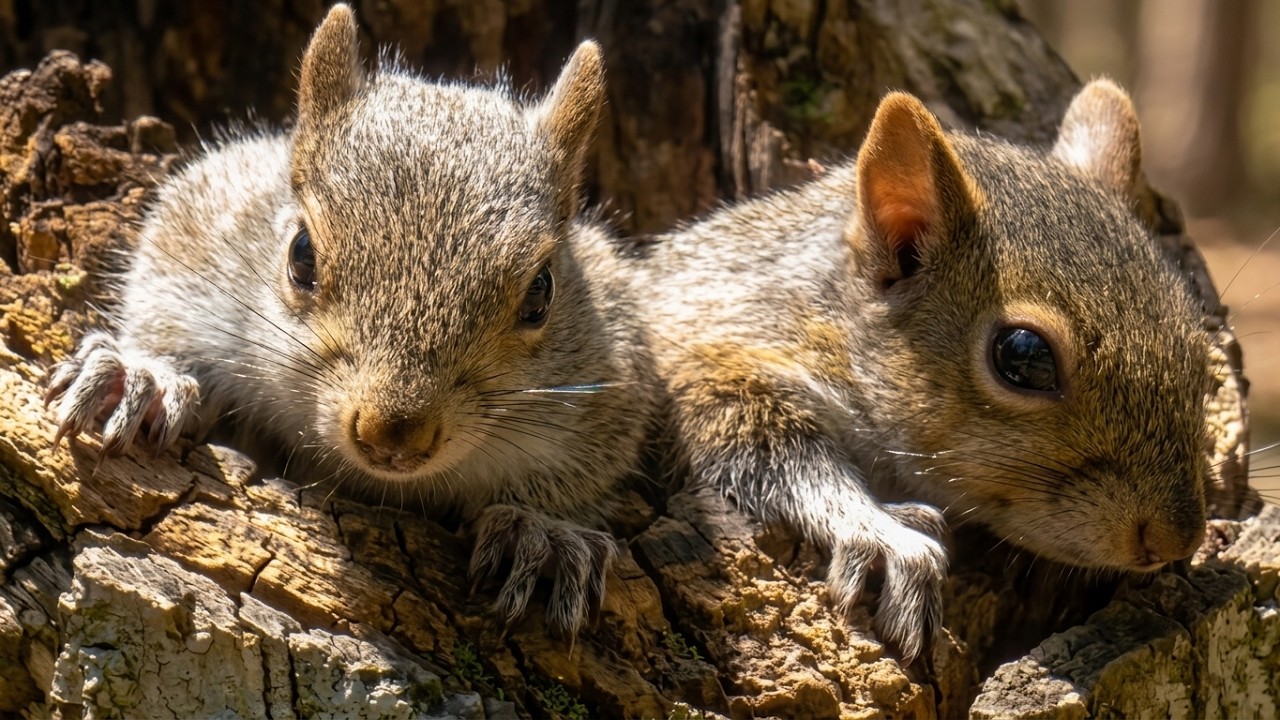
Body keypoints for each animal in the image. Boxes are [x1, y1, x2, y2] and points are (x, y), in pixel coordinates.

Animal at [43, 5, 654, 637]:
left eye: (541, 293)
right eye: (301, 254)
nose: (393, 435)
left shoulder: (608, 378)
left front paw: (541, 531)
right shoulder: (205, 229)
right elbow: (162, 303)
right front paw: (142, 379)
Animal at [631, 80, 1210, 662]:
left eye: (1199, 340)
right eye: (1023, 356)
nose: (1176, 539)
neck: (831, 317)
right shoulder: (713, 350)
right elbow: (766, 450)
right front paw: (883, 532)